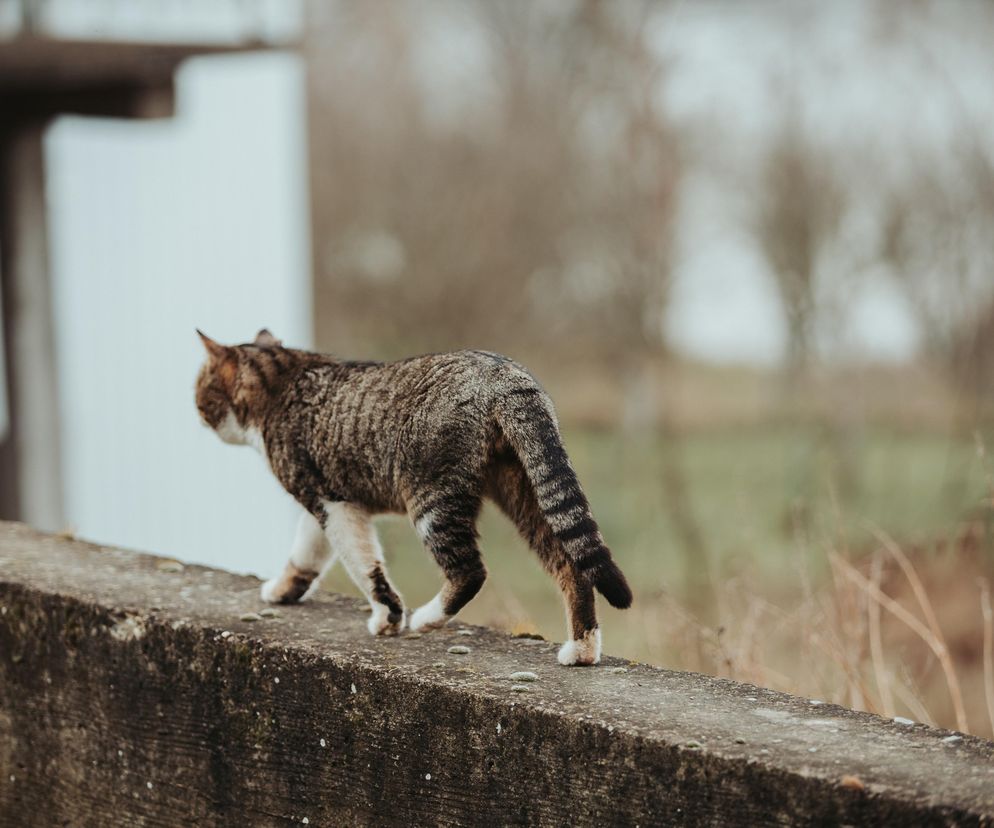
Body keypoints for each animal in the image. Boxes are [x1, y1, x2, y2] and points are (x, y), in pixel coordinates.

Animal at [193, 330, 628, 668]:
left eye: (200, 392)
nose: (197, 414)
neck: (284, 379)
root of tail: (504, 375)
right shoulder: (326, 500)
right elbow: (307, 553)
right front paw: (284, 590)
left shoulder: (332, 504)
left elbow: (364, 566)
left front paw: (388, 618)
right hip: (528, 489)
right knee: (572, 565)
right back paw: (581, 650)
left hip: (432, 500)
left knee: (470, 572)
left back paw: (425, 619)